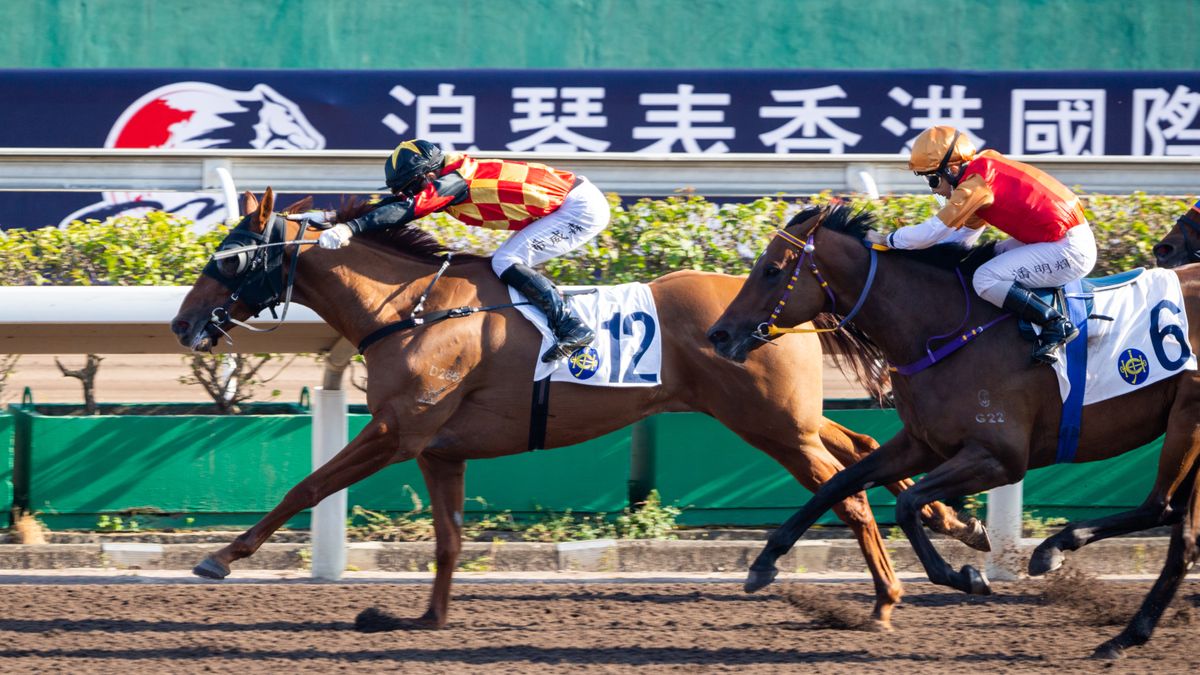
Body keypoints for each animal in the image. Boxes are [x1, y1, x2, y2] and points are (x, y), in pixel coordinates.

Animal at [171, 190, 993, 629]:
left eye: (227, 257)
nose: (182, 323)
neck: (410, 310)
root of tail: (777, 307)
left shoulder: (398, 431)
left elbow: (306, 486)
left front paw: (221, 556)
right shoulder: (440, 449)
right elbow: (449, 540)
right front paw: (425, 618)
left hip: (770, 425)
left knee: (846, 492)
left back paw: (887, 596)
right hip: (786, 417)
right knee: (860, 447)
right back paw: (960, 526)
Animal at [700, 204, 1200, 653]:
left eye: (771, 270)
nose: (718, 335)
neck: (944, 331)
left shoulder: (1000, 458)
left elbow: (907, 503)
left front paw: (967, 575)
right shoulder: (923, 442)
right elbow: (840, 483)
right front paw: (764, 562)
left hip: (1187, 419)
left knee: (1160, 507)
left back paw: (1056, 552)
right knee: (1182, 534)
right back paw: (1126, 633)